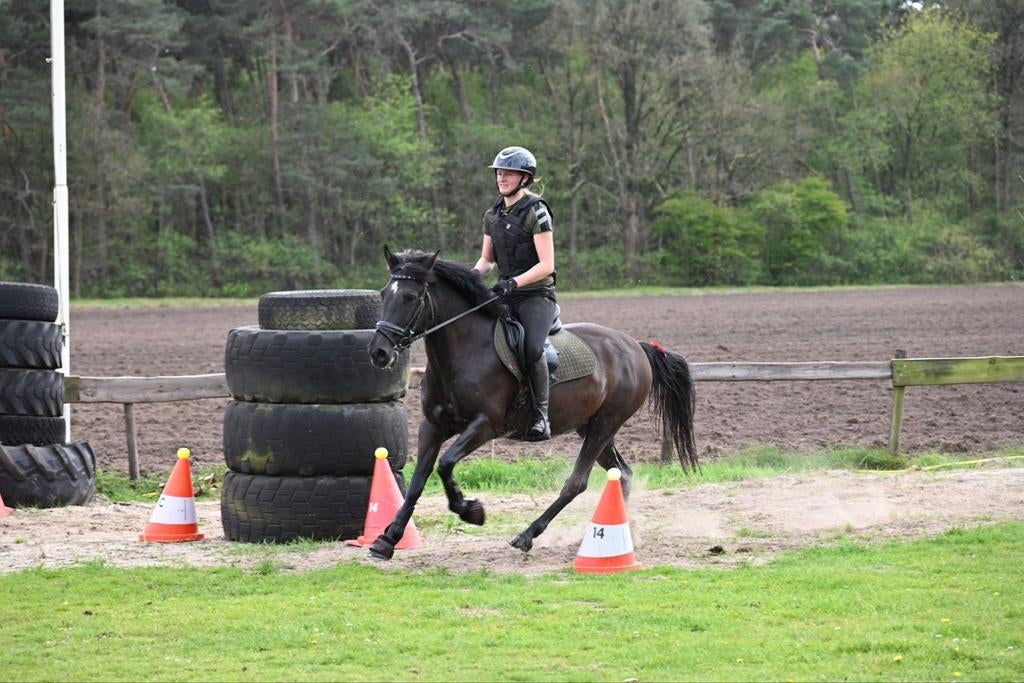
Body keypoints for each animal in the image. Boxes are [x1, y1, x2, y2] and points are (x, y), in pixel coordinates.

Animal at [365, 247, 697, 560]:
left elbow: (445, 464)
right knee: (623, 474)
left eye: (410, 297)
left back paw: (528, 535)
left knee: (576, 483)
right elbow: (417, 481)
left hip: (605, 424)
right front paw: (387, 539)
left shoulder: (485, 425)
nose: (379, 353)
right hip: (591, 427)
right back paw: (609, 536)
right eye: (383, 294)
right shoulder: (432, 426)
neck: (465, 352)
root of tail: (636, 347)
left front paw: (471, 510)